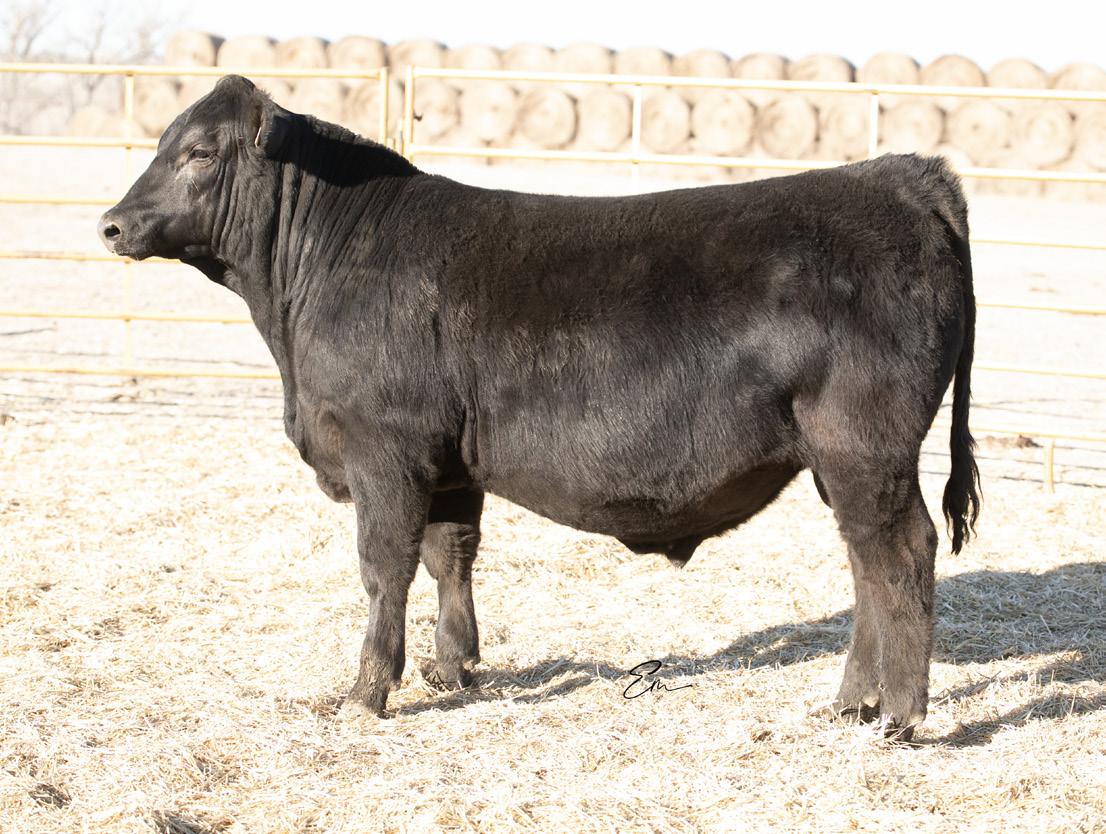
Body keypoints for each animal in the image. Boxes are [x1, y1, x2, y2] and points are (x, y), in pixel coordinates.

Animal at [98, 75, 980, 738]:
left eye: (198, 151)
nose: (111, 224)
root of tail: (896, 175)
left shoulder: (384, 449)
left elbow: (384, 569)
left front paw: (365, 694)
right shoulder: (449, 464)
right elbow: (449, 556)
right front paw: (452, 667)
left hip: (865, 445)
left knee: (900, 554)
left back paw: (900, 716)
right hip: (840, 459)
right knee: (865, 563)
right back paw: (851, 704)